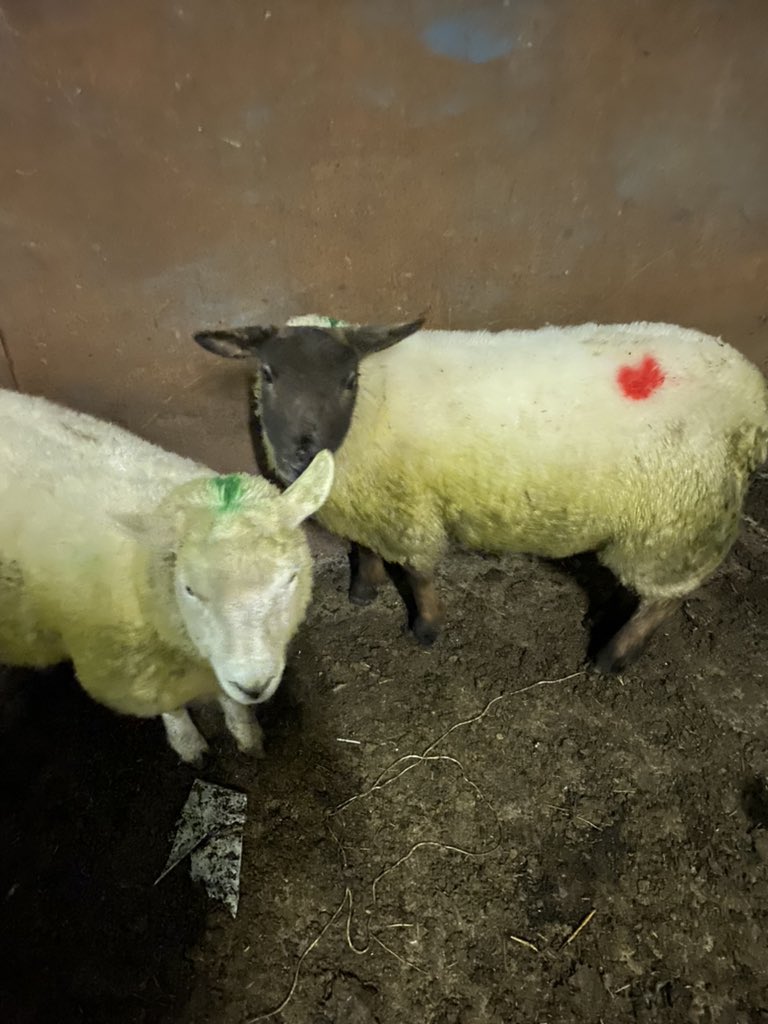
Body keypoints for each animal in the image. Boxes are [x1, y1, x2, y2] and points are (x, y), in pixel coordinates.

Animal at [0, 387, 334, 764]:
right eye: (188, 589)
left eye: (291, 578)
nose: (254, 685)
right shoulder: (139, 674)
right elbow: (171, 706)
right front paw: (189, 745)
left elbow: (230, 700)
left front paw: (247, 734)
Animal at [192, 315, 768, 673]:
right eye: (268, 373)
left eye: (350, 380)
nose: (304, 454)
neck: (373, 407)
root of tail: (751, 393)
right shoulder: (367, 500)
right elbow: (364, 548)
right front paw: (363, 591)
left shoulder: (407, 505)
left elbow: (419, 572)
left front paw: (426, 629)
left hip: (681, 517)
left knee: (667, 595)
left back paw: (613, 656)